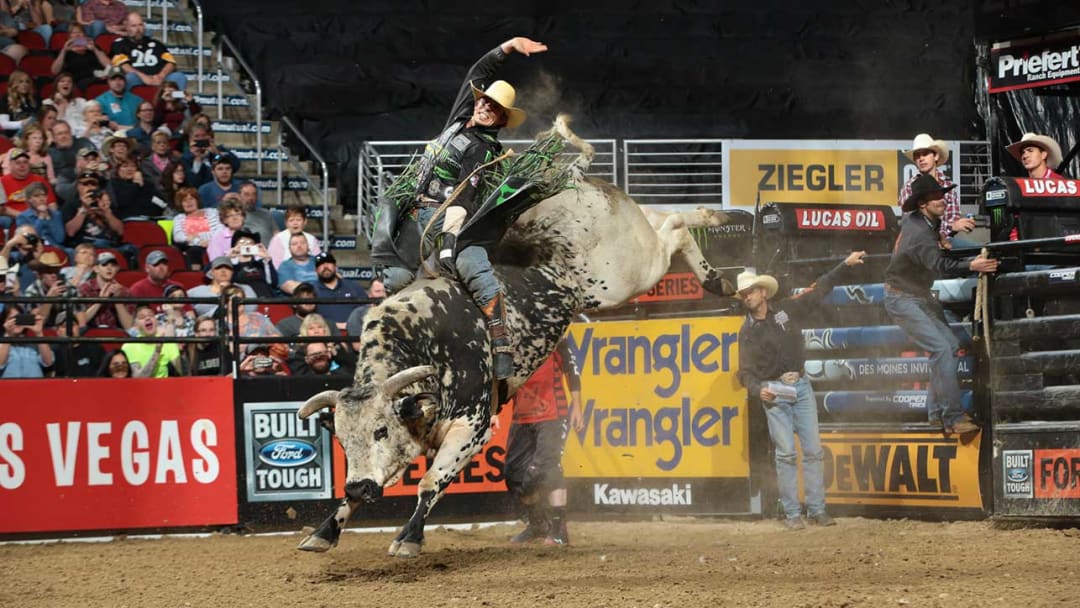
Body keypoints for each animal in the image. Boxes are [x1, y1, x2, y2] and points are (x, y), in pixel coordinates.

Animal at [296, 116, 733, 557]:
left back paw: (720, 277)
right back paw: (711, 222)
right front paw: (325, 530)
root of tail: (571, 181)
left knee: (674, 231)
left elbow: (431, 482)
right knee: (662, 216)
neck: (424, 342)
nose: (360, 486)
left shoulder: (472, 428)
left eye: (380, 430)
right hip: (629, 239)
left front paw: (408, 537)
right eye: (342, 438)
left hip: (623, 275)